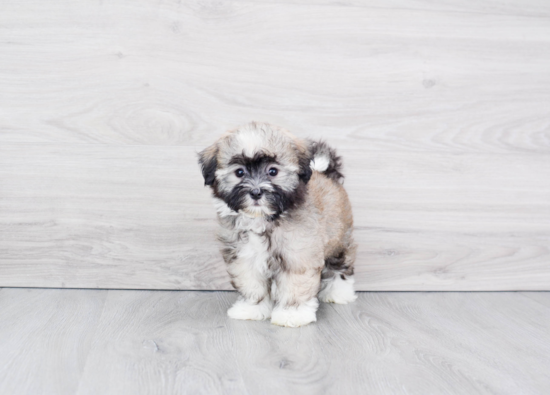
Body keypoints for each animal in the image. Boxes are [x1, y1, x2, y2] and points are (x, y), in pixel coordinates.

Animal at [198, 123, 358, 328]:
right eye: (239, 172)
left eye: (273, 171)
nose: (256, 192)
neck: (263, 219)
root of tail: (326, 174)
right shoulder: (245, 258)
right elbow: (252, 285)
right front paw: (252, 309)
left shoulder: (297, 256)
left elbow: (294, 285)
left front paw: (292, 314)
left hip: (339, 238)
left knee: (340, 266)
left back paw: (338, 293)